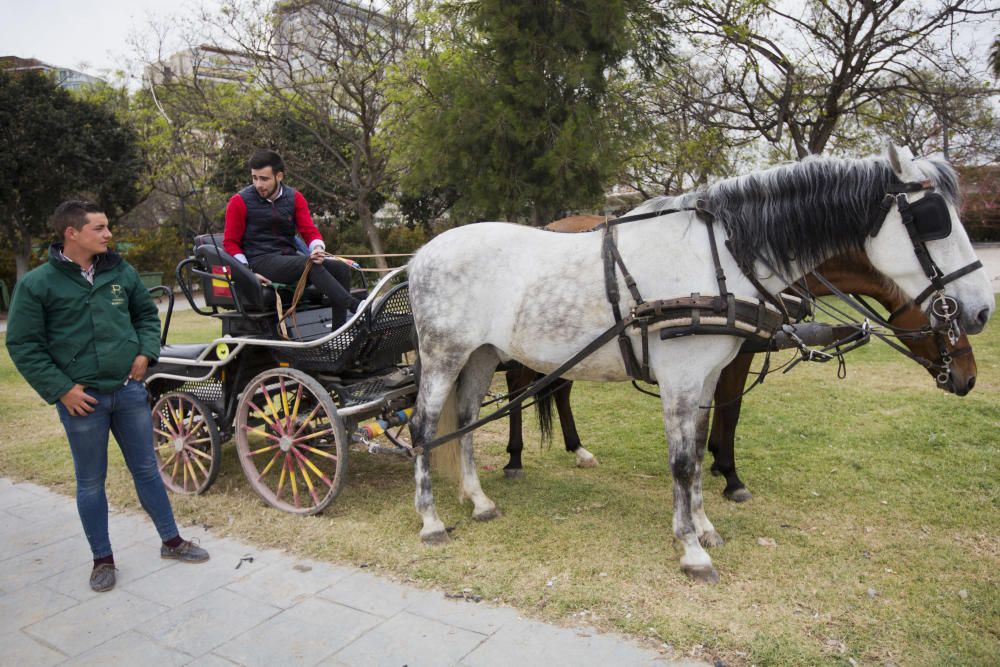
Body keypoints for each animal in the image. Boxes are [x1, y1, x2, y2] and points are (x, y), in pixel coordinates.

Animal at [404, 145, 992, 580]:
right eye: (933, 220)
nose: (982, 310)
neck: (722, 259)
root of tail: (420, 254)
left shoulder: (708, 375)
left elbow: (705, 441)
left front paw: (705, 523)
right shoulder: (683, 377)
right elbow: (684, 460)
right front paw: (691, 549)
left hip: (482, 356)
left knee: (469, 419)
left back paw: (479, 500)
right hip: (442, 354)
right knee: (425, 427)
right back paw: (431, 519)